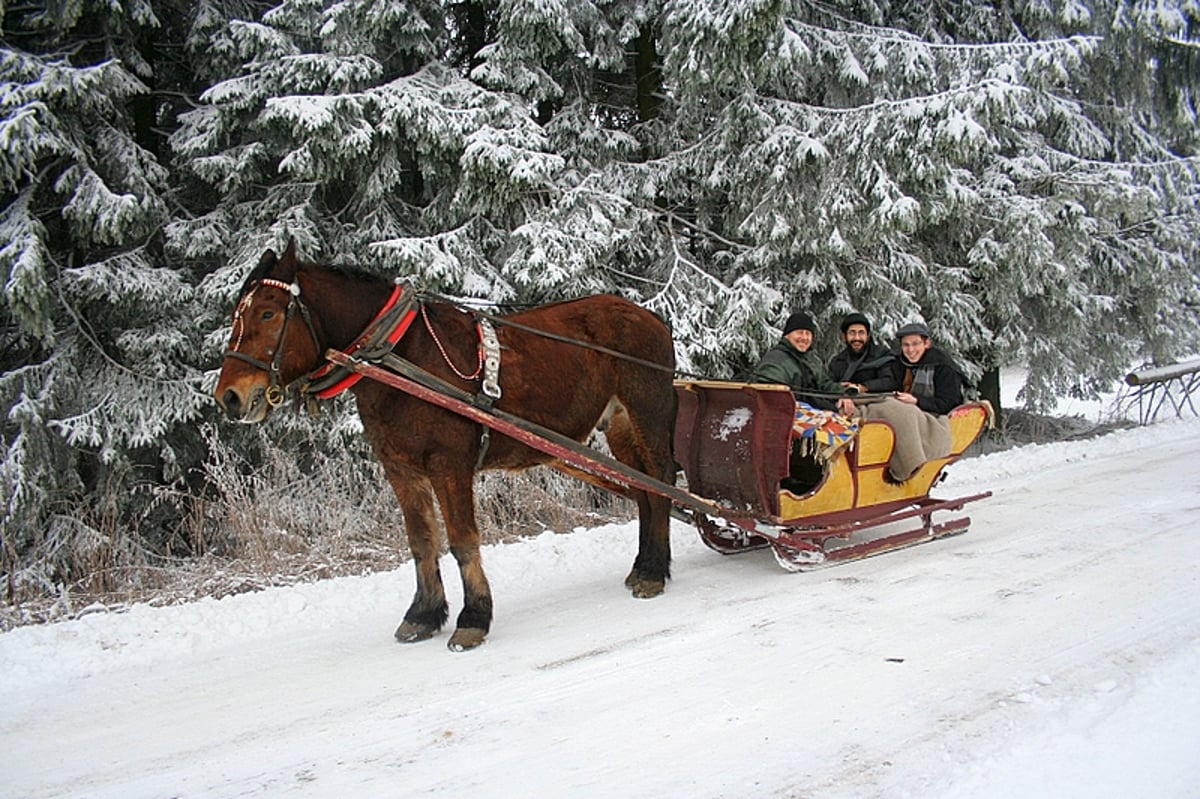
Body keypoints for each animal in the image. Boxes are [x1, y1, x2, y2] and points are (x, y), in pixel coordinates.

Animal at [213, 241, 676, 647]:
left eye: (268, 313)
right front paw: (423, 613)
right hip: (619, 426)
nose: (229, 396)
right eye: (237, 315)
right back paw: (643, 566)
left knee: (663, 483)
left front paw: (474, 618)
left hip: (648, 411)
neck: (402, 354)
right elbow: (422, 542)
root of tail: (651, 317)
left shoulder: (448, 463)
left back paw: (654, 571)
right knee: (644, 490)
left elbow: (462, 540)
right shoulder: (400, 467)